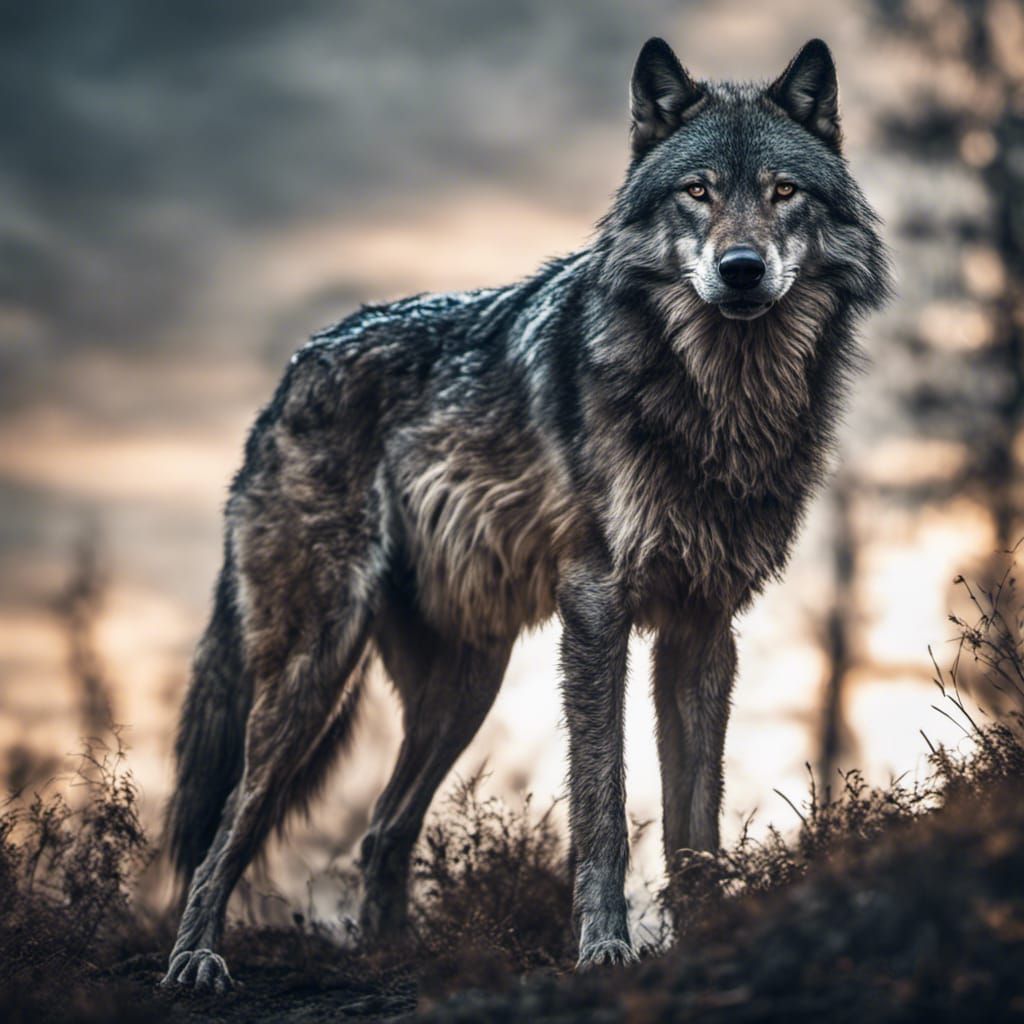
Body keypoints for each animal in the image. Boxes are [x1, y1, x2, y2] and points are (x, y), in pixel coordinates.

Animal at [161, 37, 890, 990]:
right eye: (697, 191)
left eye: (783, 191)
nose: (741, 269)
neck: (719, 395)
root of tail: (290, 375)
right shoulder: (597, 606)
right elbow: (604, 804)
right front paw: (605, 948)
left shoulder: (702, 627)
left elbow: (696, 819)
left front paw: (710, 936)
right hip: (315, 665)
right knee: (227, 827)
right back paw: (196, 957)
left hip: (464, 688)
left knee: (381, 829)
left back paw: (398, 957)